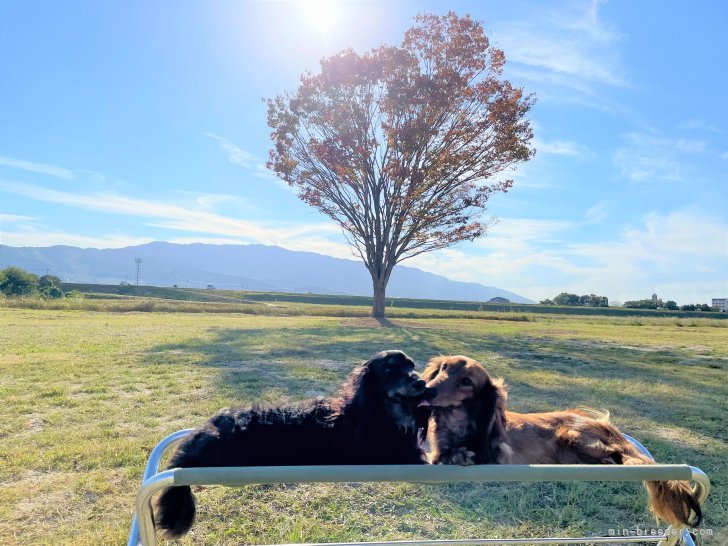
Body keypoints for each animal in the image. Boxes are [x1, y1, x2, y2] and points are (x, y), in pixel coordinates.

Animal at [156, 348, 436, 536]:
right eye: (390, 369)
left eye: (412, 366)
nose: (421, 382)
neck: (382, 411)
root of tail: (198, 436)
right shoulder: (373, 453)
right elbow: (413, 456)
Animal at [424, 352, 704, 528]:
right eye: (444, 368)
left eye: (467, 381)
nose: (427, 390)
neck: (457, 424)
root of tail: (605, 424)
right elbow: (439, 456)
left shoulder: (499, 456)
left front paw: (461, 454)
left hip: (574, 436)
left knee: (618, 456)